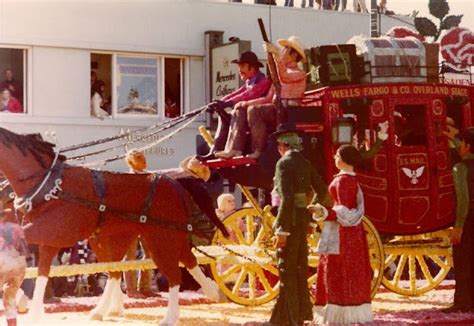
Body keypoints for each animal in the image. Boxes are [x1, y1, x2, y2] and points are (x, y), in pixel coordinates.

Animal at [0, 126, 225, 324]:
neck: (49, 184)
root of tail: (176, 181)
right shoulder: (49, 239)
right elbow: (41, 272)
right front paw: (31, 310)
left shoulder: (50, 232)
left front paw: (20, 300)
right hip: (124, 237)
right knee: (166, 263)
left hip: (161, 237)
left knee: (175, 272)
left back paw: (171, 317)